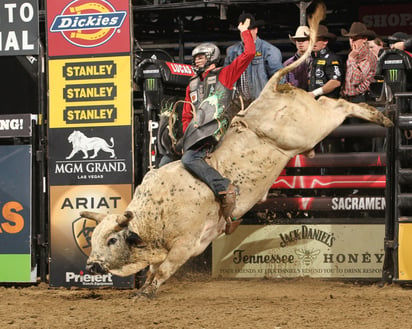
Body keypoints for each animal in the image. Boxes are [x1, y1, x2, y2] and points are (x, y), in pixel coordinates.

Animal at [79, 3, 392, 298]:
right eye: (93, 238)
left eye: (111, 240)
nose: (91, 265)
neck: (157, 212)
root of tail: (271, 89)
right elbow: (156, 268)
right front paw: (144, 287)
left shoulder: (187, 244)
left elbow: (164, 268)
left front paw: (146, 292)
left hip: (310, 128)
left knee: (337, 105)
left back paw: (379, 116)